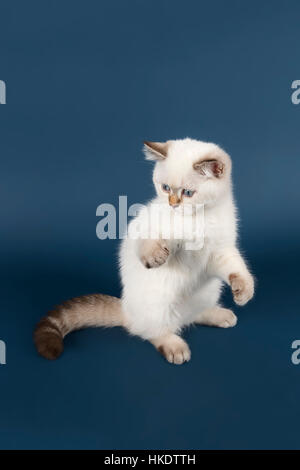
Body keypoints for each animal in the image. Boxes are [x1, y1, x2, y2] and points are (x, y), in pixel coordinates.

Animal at [35, 138, 255, 366]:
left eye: (187, 193)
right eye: (165, 188)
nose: (172, 205)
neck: (201, 218)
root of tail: (126, 309)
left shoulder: (220, 252)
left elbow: (238, 269)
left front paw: (243, 292)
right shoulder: (148, 229)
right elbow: (151, 242)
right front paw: (155, 256)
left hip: (208, 292)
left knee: (191, 316)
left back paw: (219, 316)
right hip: (161, 301)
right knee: (150, 331)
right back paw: (175, 347)